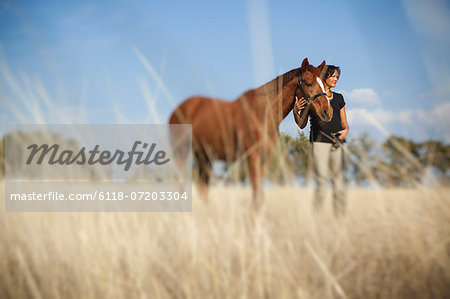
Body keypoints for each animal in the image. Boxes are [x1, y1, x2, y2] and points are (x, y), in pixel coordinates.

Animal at [168, 57, 330, 210]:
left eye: (324, 84)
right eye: (308, 83)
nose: (327, 112)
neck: (264, 113)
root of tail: (177, 110)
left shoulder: (264, 159)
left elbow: (259, 195)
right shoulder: (253, 157)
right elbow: (256, 194)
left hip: (204, 157)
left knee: (202, 188)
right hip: (181, 152)